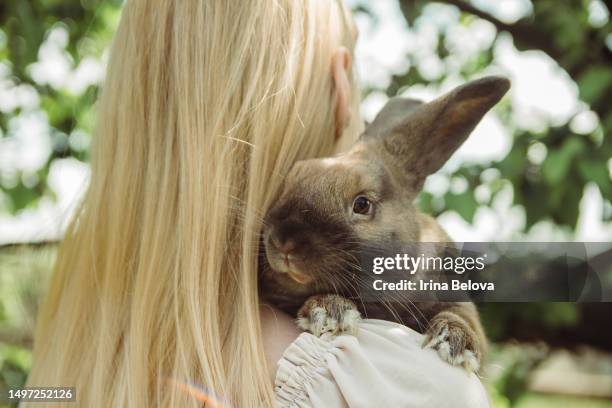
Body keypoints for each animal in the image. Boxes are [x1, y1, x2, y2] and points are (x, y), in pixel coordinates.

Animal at [260, 75, 512, 372]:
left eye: (362, 204)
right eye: (288, 184)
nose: (283, 242)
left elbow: (463, 317)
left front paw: (455, 342)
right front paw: (329, 311)